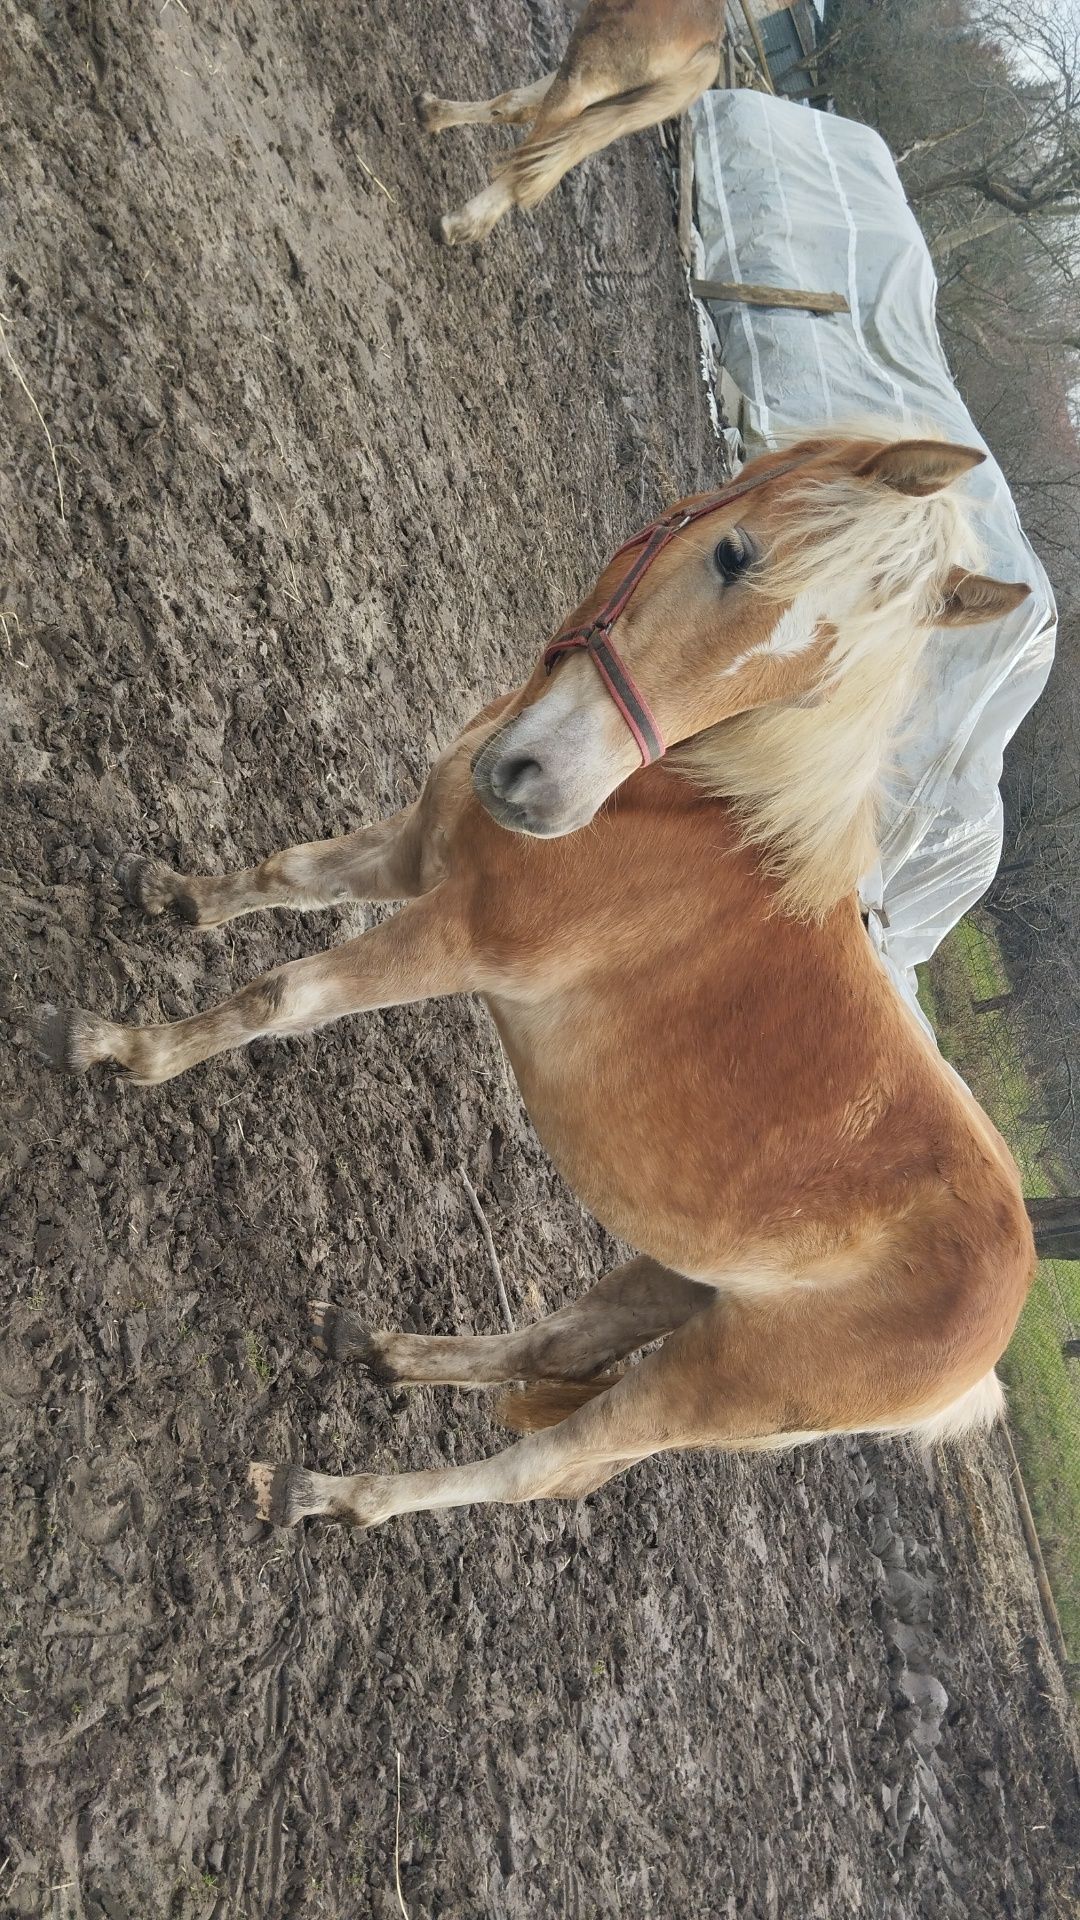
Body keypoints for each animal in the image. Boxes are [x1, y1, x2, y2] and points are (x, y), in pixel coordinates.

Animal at [39, 428, 1037, 1536]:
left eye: (804, 687)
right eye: (732, 555)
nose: (542, 789)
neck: (676, 804)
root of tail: (980, 1370)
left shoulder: (456, 937)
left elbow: (282, 997)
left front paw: (124, 1048)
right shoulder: (417, 852)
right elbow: (285, 874)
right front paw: (170, 897)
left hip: (719, 1381)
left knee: (543, 1470)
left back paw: (328, 1494)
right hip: (677, 1282)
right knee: (553, 1345)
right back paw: (380, 1349)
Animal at [418, 0, 722, 247]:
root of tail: (712, 40)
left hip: (582, 76)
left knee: (528, 165)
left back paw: (457, 224)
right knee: (520, 114)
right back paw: (431, 112)